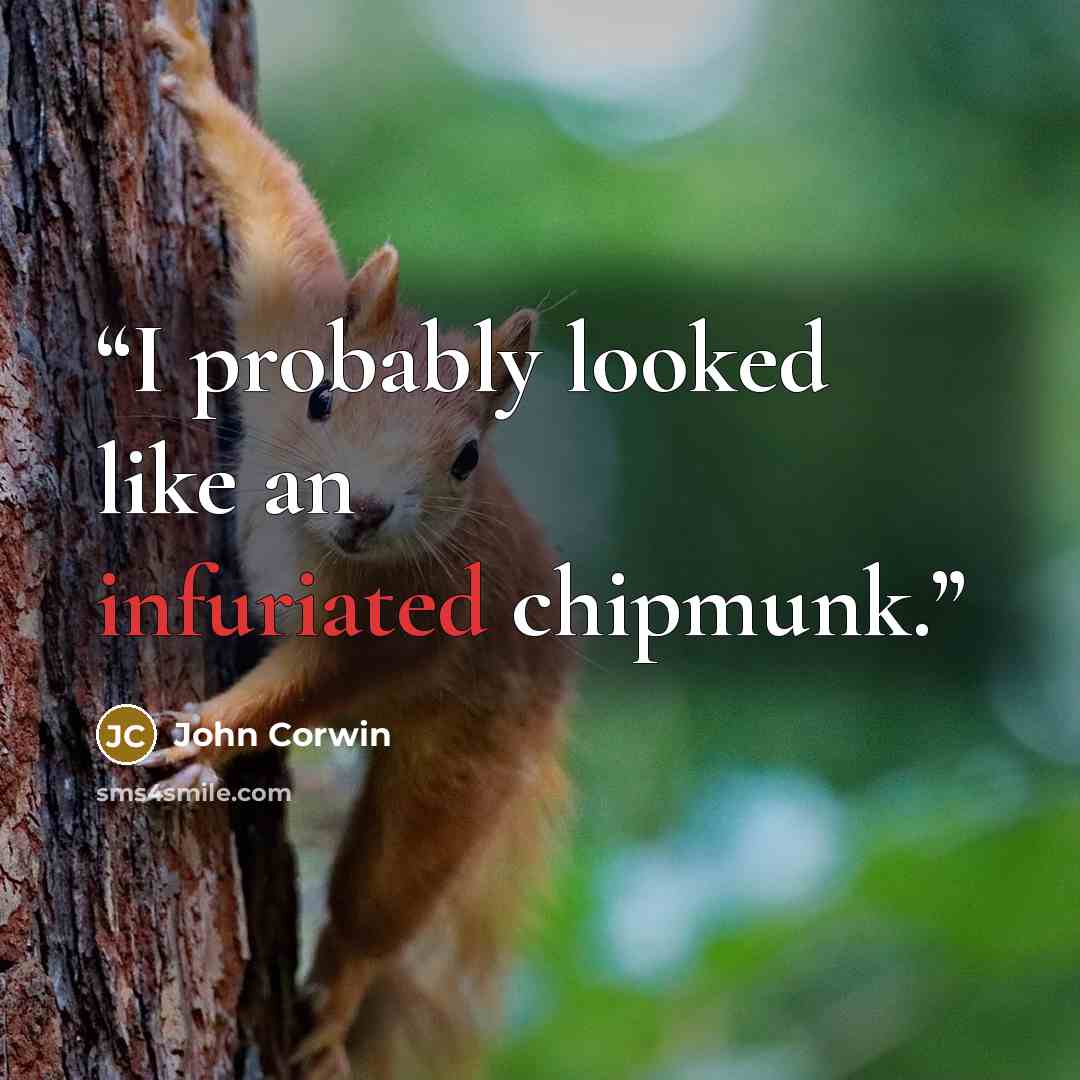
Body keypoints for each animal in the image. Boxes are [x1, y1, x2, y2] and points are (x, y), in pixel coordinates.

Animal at [142, 3, 574, 1078]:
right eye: (321, 396)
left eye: (466, 459)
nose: (368, 507)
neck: (312, 544)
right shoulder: (283, 320)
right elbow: (277, 207)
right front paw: (197, 79)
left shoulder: (399, 626)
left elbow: (305, 685)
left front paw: (206, 732)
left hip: (466, 761)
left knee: (384, 899)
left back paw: (334, 1003)